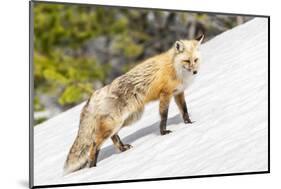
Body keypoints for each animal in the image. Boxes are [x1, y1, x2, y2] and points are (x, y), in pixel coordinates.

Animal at [63, 34, 203, 173]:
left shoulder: (178, 92)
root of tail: (95, 94)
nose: (195, 72)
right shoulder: (165, 95)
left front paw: (189, 123)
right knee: (94, 144)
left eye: (195, 60)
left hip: (128, 119)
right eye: (186, 61)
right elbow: (164, 117)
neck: (174, 67)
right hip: (115, 123)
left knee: (113, 137)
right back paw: (92, 167)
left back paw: (122, 148)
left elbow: (184, 110)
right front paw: (163, 132)